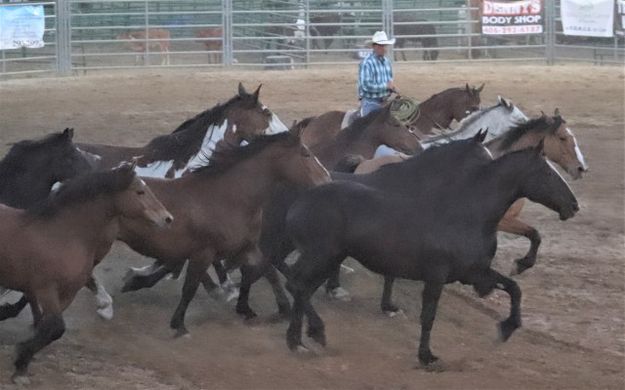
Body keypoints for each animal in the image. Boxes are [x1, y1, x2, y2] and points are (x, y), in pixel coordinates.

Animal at [0, 161, 172, 384]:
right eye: (140, 192)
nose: (167, 218)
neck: (61, 235)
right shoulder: (45, 290)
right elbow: (55, 326)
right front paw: (20, 362)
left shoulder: (67, 293)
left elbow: (50, 329)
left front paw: (22, 363)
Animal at [118, 130, 332, 336]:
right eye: (306, 154)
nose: (326, 179)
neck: (230, 198)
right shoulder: (203, 253)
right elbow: (190, 288)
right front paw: (179, 325)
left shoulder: (247, 248)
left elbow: (269, 272)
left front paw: (279, 309)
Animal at [282, 140, 576, 366]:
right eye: (547, 173)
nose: (573, 206)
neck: (467, 215)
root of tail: (300, 201)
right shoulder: (437, 276)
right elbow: (428, 316)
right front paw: (426, 356)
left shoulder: (474, 273)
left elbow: (514, 288)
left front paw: (508, 327)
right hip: (320, 257)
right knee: (297, 284)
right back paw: (306, 336)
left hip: (329, 258)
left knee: (302, 288)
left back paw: (302, 338)